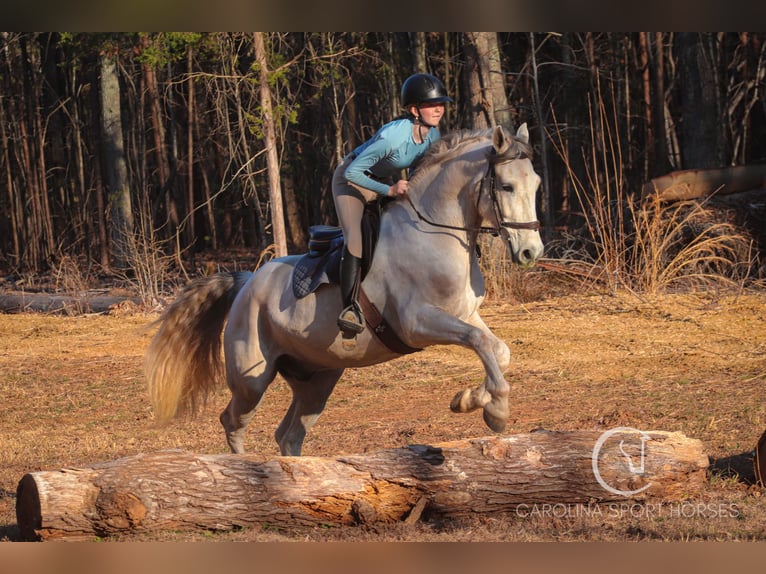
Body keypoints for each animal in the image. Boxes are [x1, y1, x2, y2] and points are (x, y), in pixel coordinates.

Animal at [144, 124, 544, 456]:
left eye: (537, 184)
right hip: (251, 378)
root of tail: (246, 283)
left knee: (289, 434)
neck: (435, 231)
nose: (531, 252)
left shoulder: (465, 313)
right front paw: (496, 411)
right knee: (233, 421)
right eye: (506, 186)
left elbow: (497, 348)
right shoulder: (417, 323)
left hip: (317, 379)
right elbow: (480, 342)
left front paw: (470, 399)